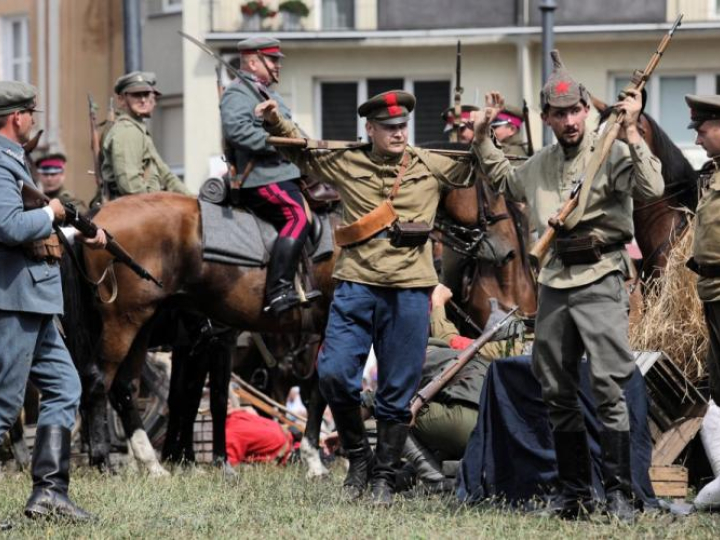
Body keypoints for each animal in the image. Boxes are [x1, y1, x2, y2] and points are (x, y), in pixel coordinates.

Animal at [60, 193, 336, 472]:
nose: (294, 363)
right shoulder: (218, 342)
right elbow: (216, 399)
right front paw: (219, 461)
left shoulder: (193, 346)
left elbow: (185, 399)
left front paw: (183, 458)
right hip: (122, 324)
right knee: (97, 382)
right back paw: (103, 460)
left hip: (139, 326)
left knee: (121, 387)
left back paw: (150, 463)